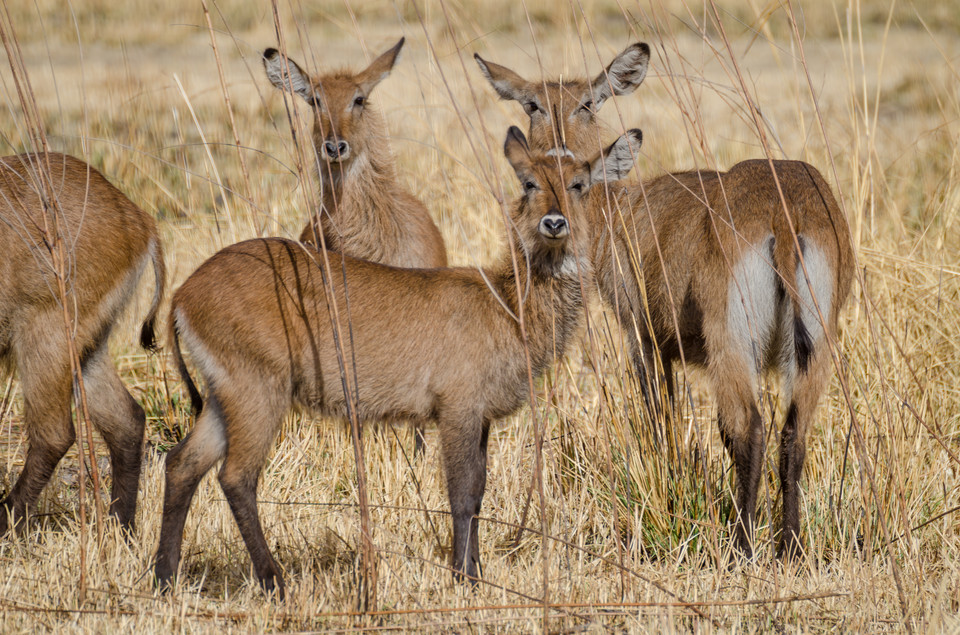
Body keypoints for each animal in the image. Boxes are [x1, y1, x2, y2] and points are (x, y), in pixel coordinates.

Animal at [0, 152, 166, 536]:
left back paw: (7, 522)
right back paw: (122, 528)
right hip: (88, 346)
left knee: (55, 434)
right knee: (127, 419)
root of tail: (139, 219)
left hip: (46, 334)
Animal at [152, 126, 644, 600]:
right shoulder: (457, 409)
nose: (554, 222)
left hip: (224, 395)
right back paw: (274, 583)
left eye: (579, 184)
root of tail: (183, 293)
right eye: (529, 182)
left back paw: (164, 579)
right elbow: (462, 492)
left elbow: (480, 492)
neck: (506, 303)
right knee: (236, 476)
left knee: (182, 463)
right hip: (258, 391)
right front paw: (465, 579)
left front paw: (475, 572)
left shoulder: (480, 416)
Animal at [478, 46, 856, 560]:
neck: (619, 203)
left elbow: (661, 419)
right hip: (815, 344)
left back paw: (741, 547)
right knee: (792, 435)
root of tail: (785, 211)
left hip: (731, 341)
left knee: (750, 429)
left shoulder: (643, 336)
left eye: (587, 103)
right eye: (533, 104)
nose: (556, 150)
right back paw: (790, 549)